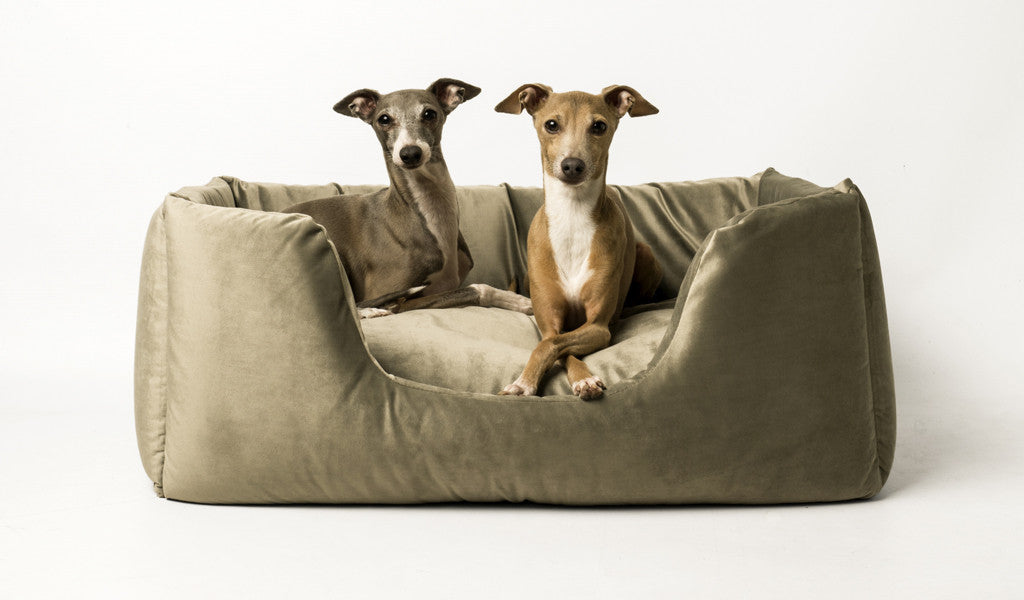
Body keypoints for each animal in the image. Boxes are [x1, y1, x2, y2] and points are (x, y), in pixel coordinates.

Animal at [495, 82, 663, 397]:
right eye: (551, 124)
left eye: (599, 126)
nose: (572, 165)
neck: (572, 218)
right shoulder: (548, 323)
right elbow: (551, 343)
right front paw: (525, 382)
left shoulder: (598, 326)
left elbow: (556, 345)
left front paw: (577, 380)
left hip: (647, 255)